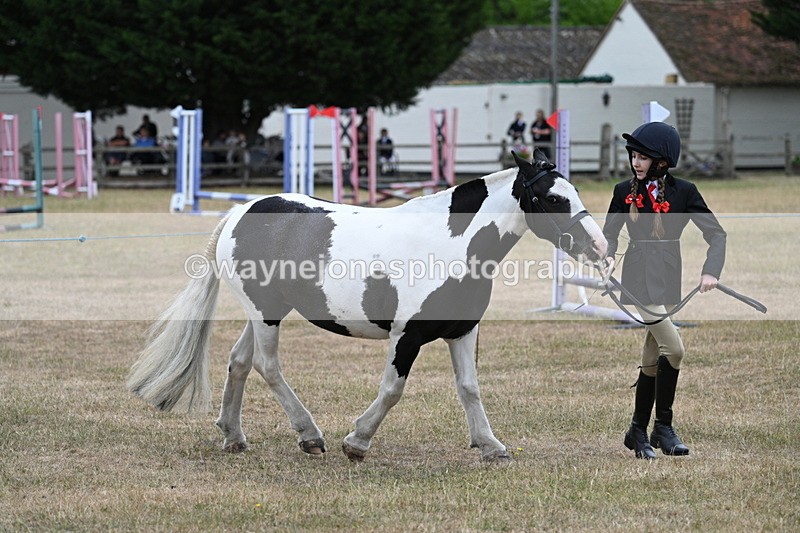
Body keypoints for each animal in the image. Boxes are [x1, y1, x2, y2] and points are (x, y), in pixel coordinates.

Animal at [127, 149, 608, 462]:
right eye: (553, 198)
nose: (599, 246)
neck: (450, 245)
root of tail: (240, 211)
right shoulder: (406, 336)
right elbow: (392, 390)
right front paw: (357, 442)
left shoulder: (461, 331)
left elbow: (469, 388)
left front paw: (490, 445)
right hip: (264, 314)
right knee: (267, 366)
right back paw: (310, 435)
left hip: (266, 310)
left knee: (239, 361)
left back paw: (233, 436)